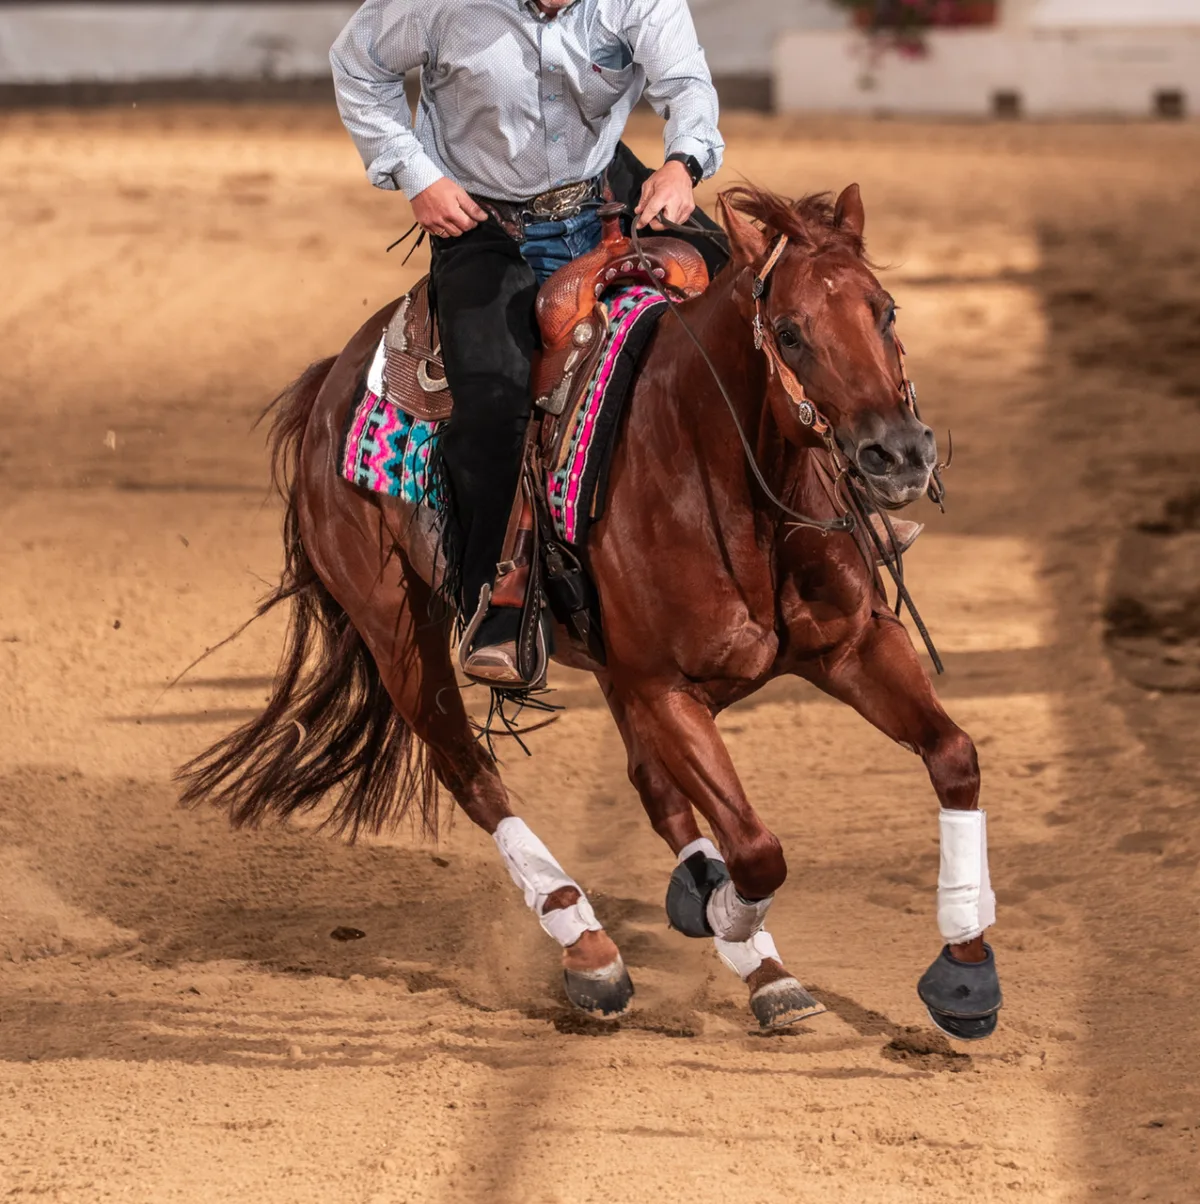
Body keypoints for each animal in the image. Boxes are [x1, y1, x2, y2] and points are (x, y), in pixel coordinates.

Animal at [179, 182, 1002, 1039]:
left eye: (886, 310)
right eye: (789, 331)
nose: (899, 454)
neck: (717, 473)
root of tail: (331, 382)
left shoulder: (855, 646)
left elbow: (953, 756)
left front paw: (965, 975)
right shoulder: (665, 688)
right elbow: (755, 849)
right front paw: (730, 926)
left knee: (649, 785)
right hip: (399, 633)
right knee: (471, 772)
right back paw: (591, 947)